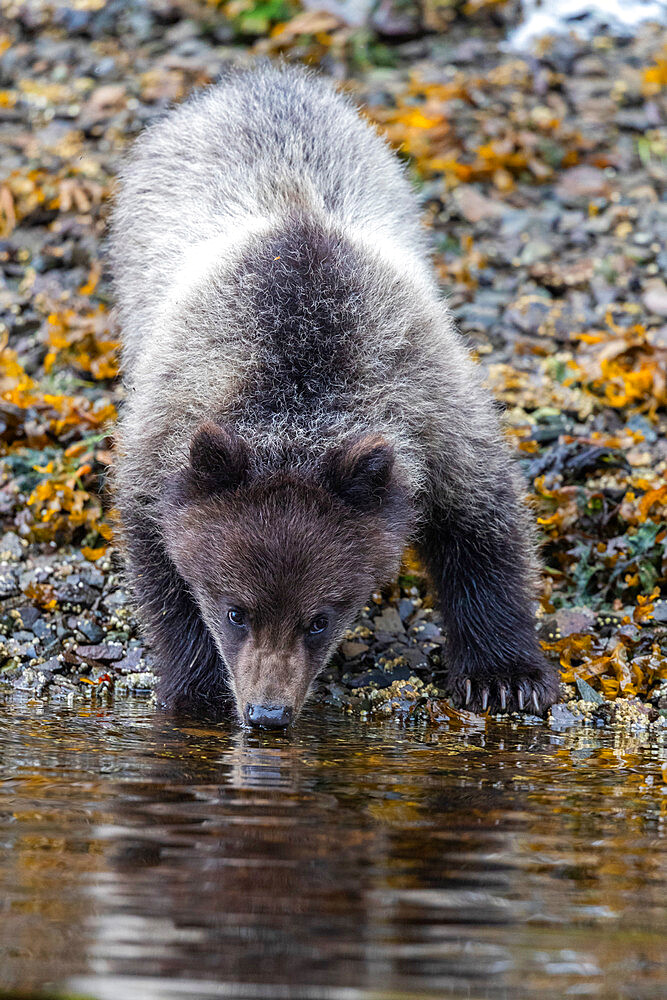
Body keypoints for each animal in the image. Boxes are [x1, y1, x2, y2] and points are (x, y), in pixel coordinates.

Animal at [112, 62, 560, 728]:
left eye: (319, 618)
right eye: (236, 610)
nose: (268, 713)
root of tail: (258, 77)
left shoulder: (433, 410)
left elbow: (483, 527)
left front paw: (505, 677)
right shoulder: (171, 418)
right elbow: (158, 560)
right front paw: (198, 690)